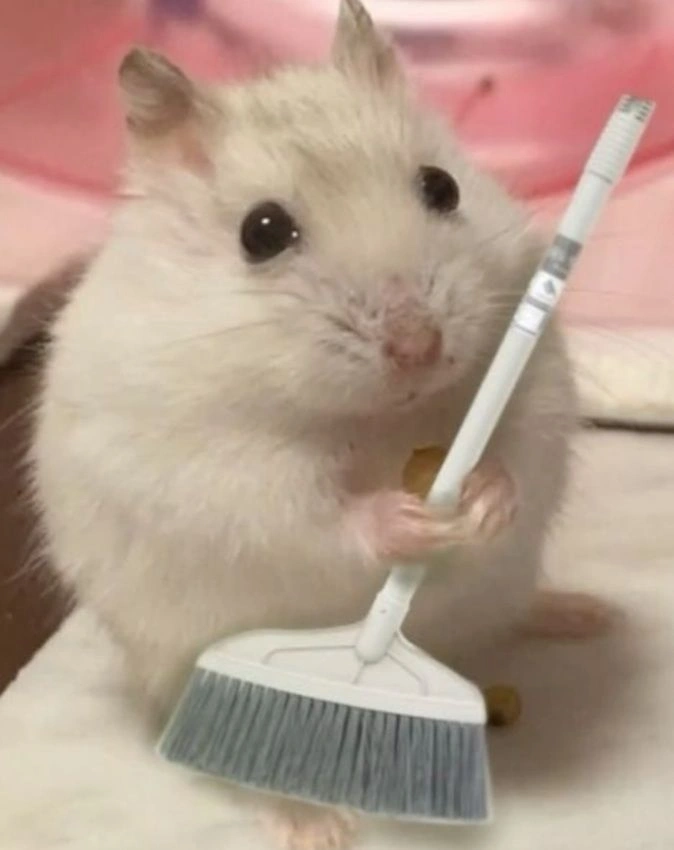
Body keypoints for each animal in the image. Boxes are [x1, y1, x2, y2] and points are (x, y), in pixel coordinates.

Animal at [31, 1, 611, 847]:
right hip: (180, 661)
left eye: (442, 187)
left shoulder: (536, 379)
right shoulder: (219, 469)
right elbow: (313, 515)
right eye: (262, 231)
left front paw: (481, 501)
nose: (419, 347)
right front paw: (410, 523)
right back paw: (317, 824)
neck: (383, 420)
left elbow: (516, 451)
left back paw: (586, 613)